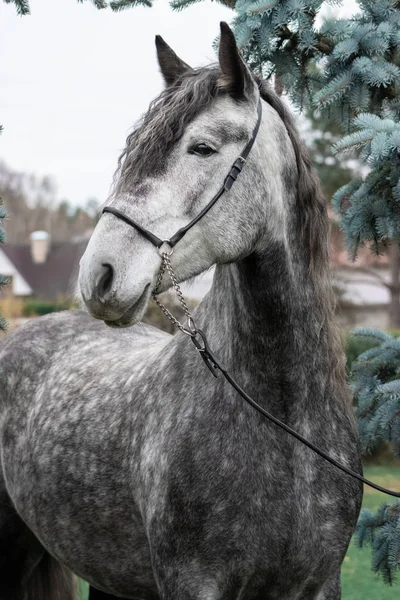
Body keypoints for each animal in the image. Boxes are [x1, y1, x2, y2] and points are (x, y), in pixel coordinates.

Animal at [0, 22, 362, 600]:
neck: (285, 424)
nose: (98, 274)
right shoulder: (193, 582)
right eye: (133, 150)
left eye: (202, 147)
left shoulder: (320, 583)